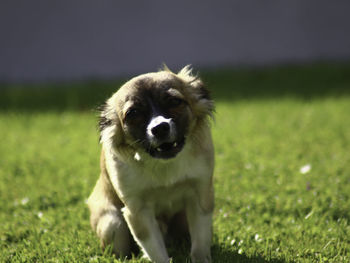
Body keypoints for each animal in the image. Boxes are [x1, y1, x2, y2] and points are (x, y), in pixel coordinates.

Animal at [87, 66, 216, 263]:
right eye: (133, 114)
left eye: (175, 101)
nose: (160, 127)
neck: (164, 163)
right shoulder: (138, 212)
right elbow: (155, 250)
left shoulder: (200, 196)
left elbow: (200, 243)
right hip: (112, 223)